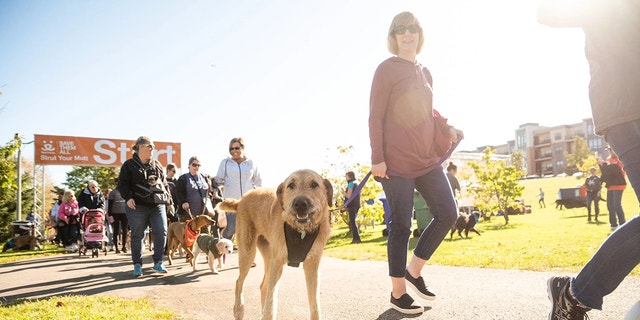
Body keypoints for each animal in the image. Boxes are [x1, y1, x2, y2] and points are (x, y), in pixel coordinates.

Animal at [218, 169, 332, 318]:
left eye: (314, 184)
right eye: (291, 185)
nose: (300, 204)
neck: (300, 232)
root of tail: (241, 200)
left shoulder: (312, 265)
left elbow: (315, 304)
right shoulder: (277, 263)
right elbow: (271, 302)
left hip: (268, 257)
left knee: (263, 286)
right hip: (248, 253)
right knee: (239, 282)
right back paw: (239, 309)